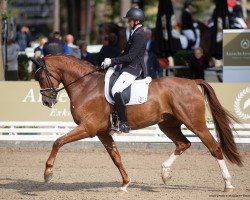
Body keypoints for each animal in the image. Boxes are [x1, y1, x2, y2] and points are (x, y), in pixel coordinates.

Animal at [29, 54, 242, 192]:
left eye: (40, 76)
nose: (47, 101)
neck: (85, 85)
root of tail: (191, 82)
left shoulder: (88, 128)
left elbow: (58, 141)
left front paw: (47, 173)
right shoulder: (101, 132)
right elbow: (116, 157)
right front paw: (125, 184)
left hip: (194, 123)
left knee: (213, 147)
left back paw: (228, 185)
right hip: (168, 124)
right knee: (183, 143)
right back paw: (165, 173)